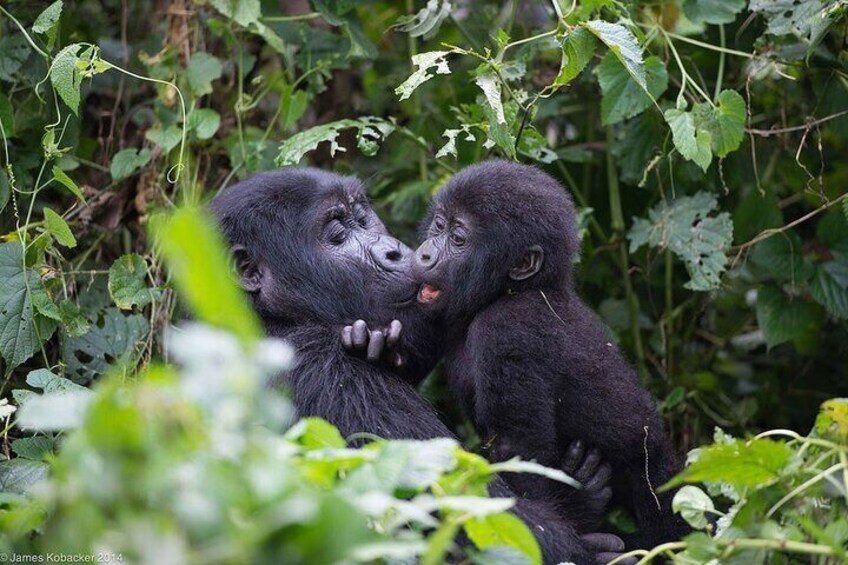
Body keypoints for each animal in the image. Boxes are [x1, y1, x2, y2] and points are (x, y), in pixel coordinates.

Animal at [208, 167, 628, 564]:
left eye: (363, 218)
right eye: (337, 234)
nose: (395, 252)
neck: (263, 316)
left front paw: (376, 346)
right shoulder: (329, 371)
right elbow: (474, 511)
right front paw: (584, 515)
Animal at [400, 160, 692, 548]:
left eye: (458, 238)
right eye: (438, 225)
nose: (424, 254)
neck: (518, 288)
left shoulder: (509, 327)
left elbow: (522, 451)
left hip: (656, 476)